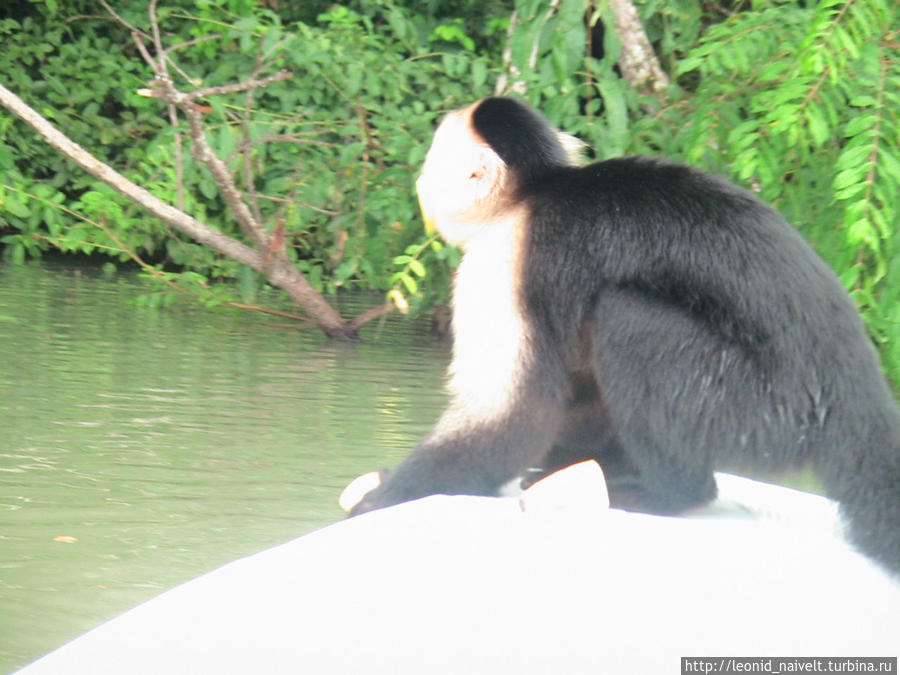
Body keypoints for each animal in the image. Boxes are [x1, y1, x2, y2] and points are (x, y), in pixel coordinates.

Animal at [352, 97, 900, 572]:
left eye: (433, 160)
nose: (421, 180)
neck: (533, 193)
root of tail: (859, 402)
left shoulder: (504, 253)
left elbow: (517, 414)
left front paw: (387, 494)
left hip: (763, 409)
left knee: (628, 318)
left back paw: (670, 492)